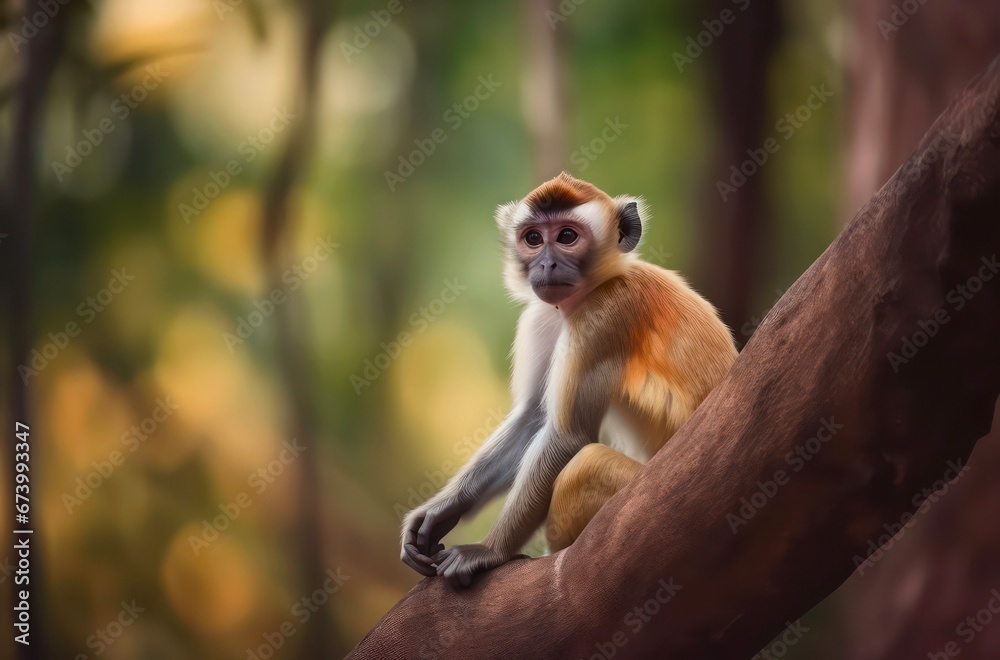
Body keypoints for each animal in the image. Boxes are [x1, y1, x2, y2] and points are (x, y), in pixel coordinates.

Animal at [400, 172, 738, 588]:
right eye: (533, 238)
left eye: (566, 236)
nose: (546, 263)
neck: (595, 287)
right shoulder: (542, 316)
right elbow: (533, 417)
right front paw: (438, 513)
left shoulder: (605, 314)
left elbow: (568, 436)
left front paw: (490, 551)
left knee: (587, 463)